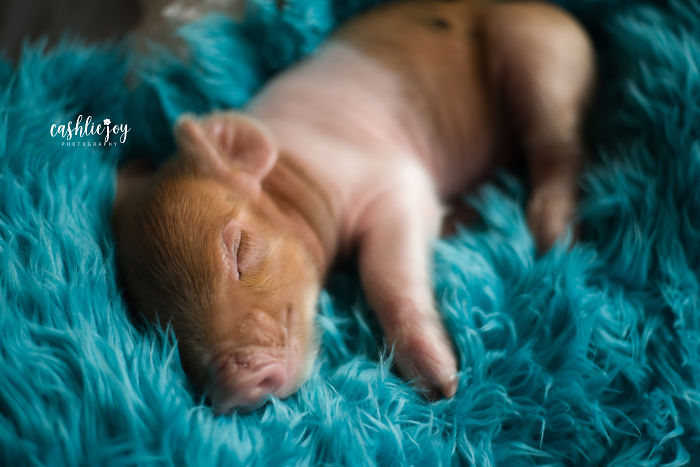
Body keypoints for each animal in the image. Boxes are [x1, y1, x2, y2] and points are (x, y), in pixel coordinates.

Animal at [113, 0, 595, 414]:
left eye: (238, 250)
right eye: (160, 322)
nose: (237, 386)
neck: (294, 178)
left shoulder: (397, 186)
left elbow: (385, 275)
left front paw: (440, 386)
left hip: (541, 54)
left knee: (557, 149)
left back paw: (552, 235)